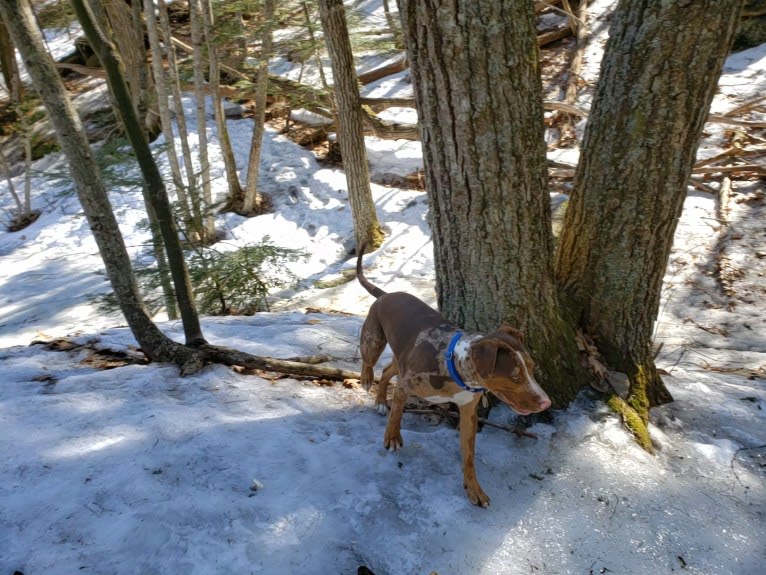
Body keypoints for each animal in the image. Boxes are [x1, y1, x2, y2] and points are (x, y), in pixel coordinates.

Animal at [356, 248, 548, 508]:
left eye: (532, 367)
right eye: (515, 376)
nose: (546, 402)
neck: (456, 367)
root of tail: (385, 295)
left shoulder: (468, 411)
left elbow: (468, 455)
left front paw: (474, 489)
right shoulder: (407, 385)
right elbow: (396, 413)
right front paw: (392, 437)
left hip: (400, 356)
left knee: (387, 370)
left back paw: (379, 400)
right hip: (374, 338)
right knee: (369, 359)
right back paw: (367, 378)